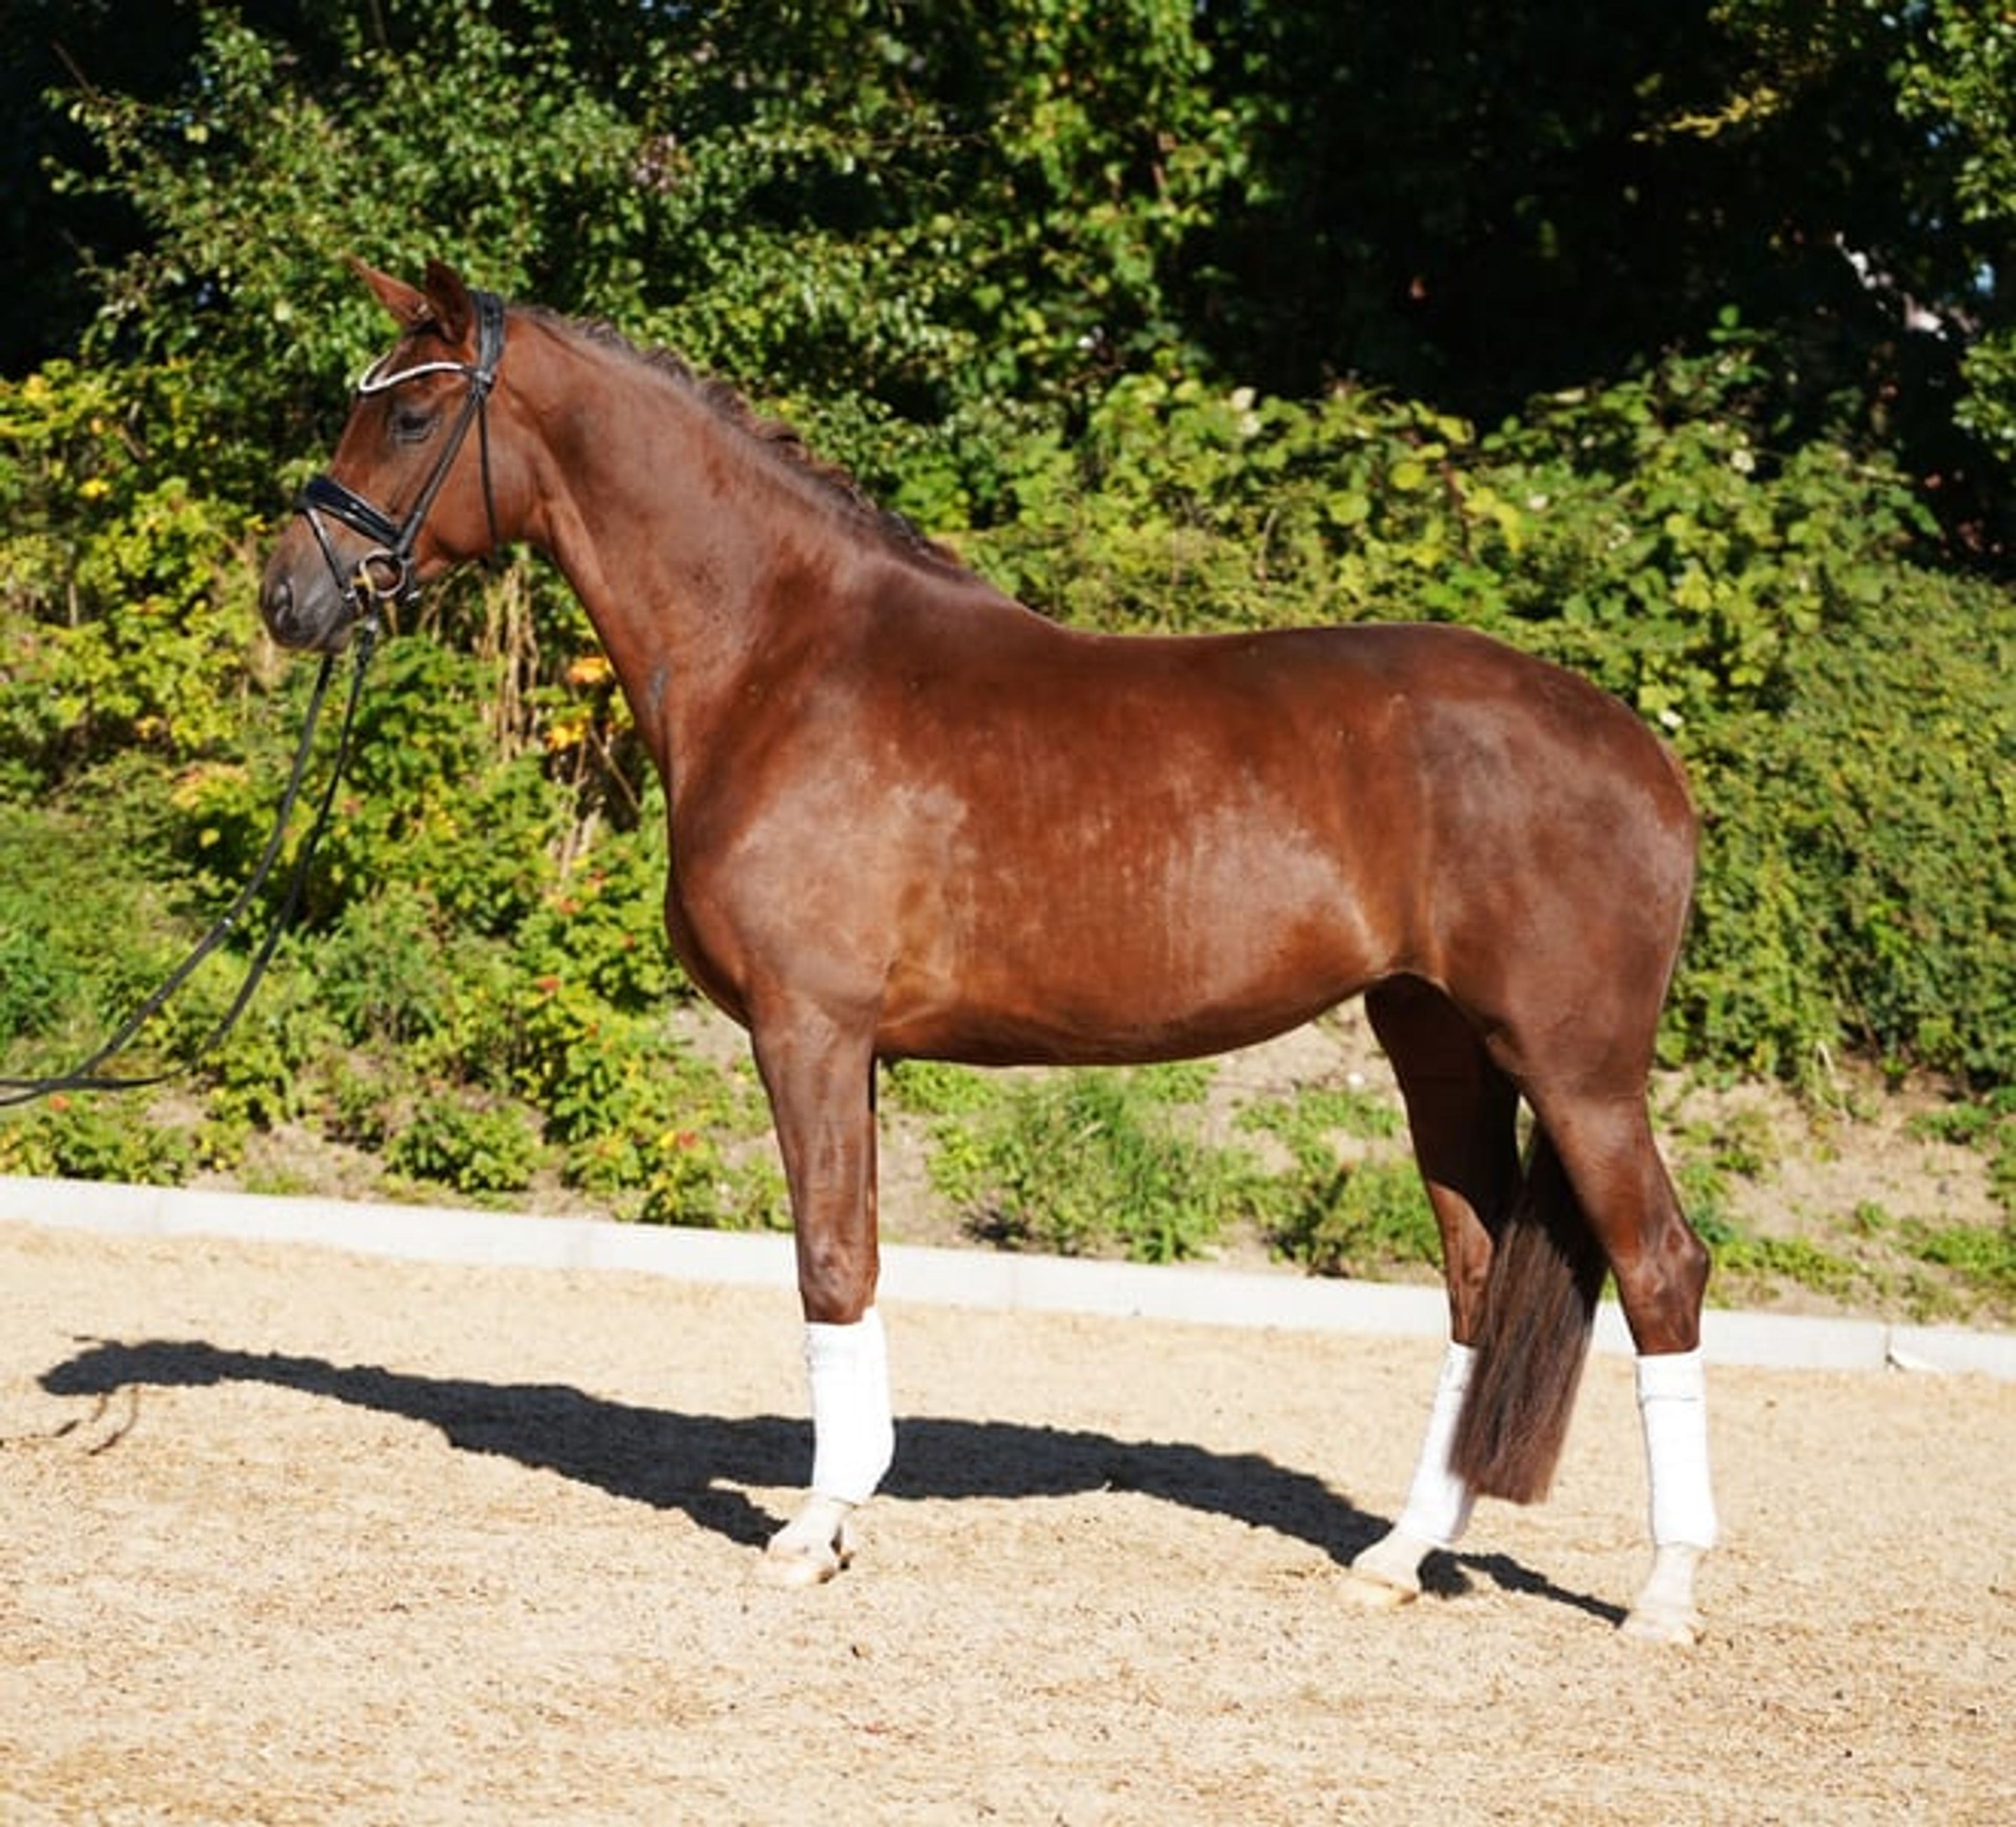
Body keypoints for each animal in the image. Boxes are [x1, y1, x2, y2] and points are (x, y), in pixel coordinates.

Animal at [259, 258, 1718, 1644]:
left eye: (409, 414)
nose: (290, 593)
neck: (781, 659)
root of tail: (1642, 756)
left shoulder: (807, 1029)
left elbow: (827, 1264)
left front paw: (813, 1529)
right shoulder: (847, 1050)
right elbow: (853, 1257)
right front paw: (844, 1510)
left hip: (1576, 1073)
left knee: (1659, 1269)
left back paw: (1663, 1593)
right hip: (1436, 1046)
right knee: (1477, 1284)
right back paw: (1399, 1559)